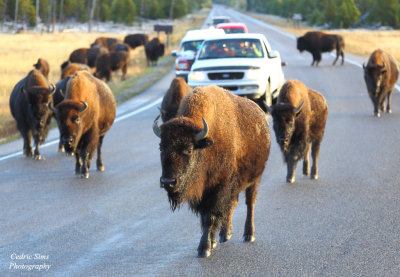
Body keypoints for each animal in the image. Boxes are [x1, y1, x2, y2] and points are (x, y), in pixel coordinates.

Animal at [153, 84, 272, 256]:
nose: (168, 182)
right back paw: (224, 234)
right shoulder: (206, 192)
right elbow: (207, 217)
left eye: (189, 149)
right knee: (233, 204)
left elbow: (210, 217)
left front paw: (204, 249)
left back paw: (248, 235)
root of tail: (261, 116)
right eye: (161, 147)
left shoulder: (219, 188)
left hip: (255, 179)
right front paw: (211, 243)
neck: (206, 146)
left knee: (250, 203)